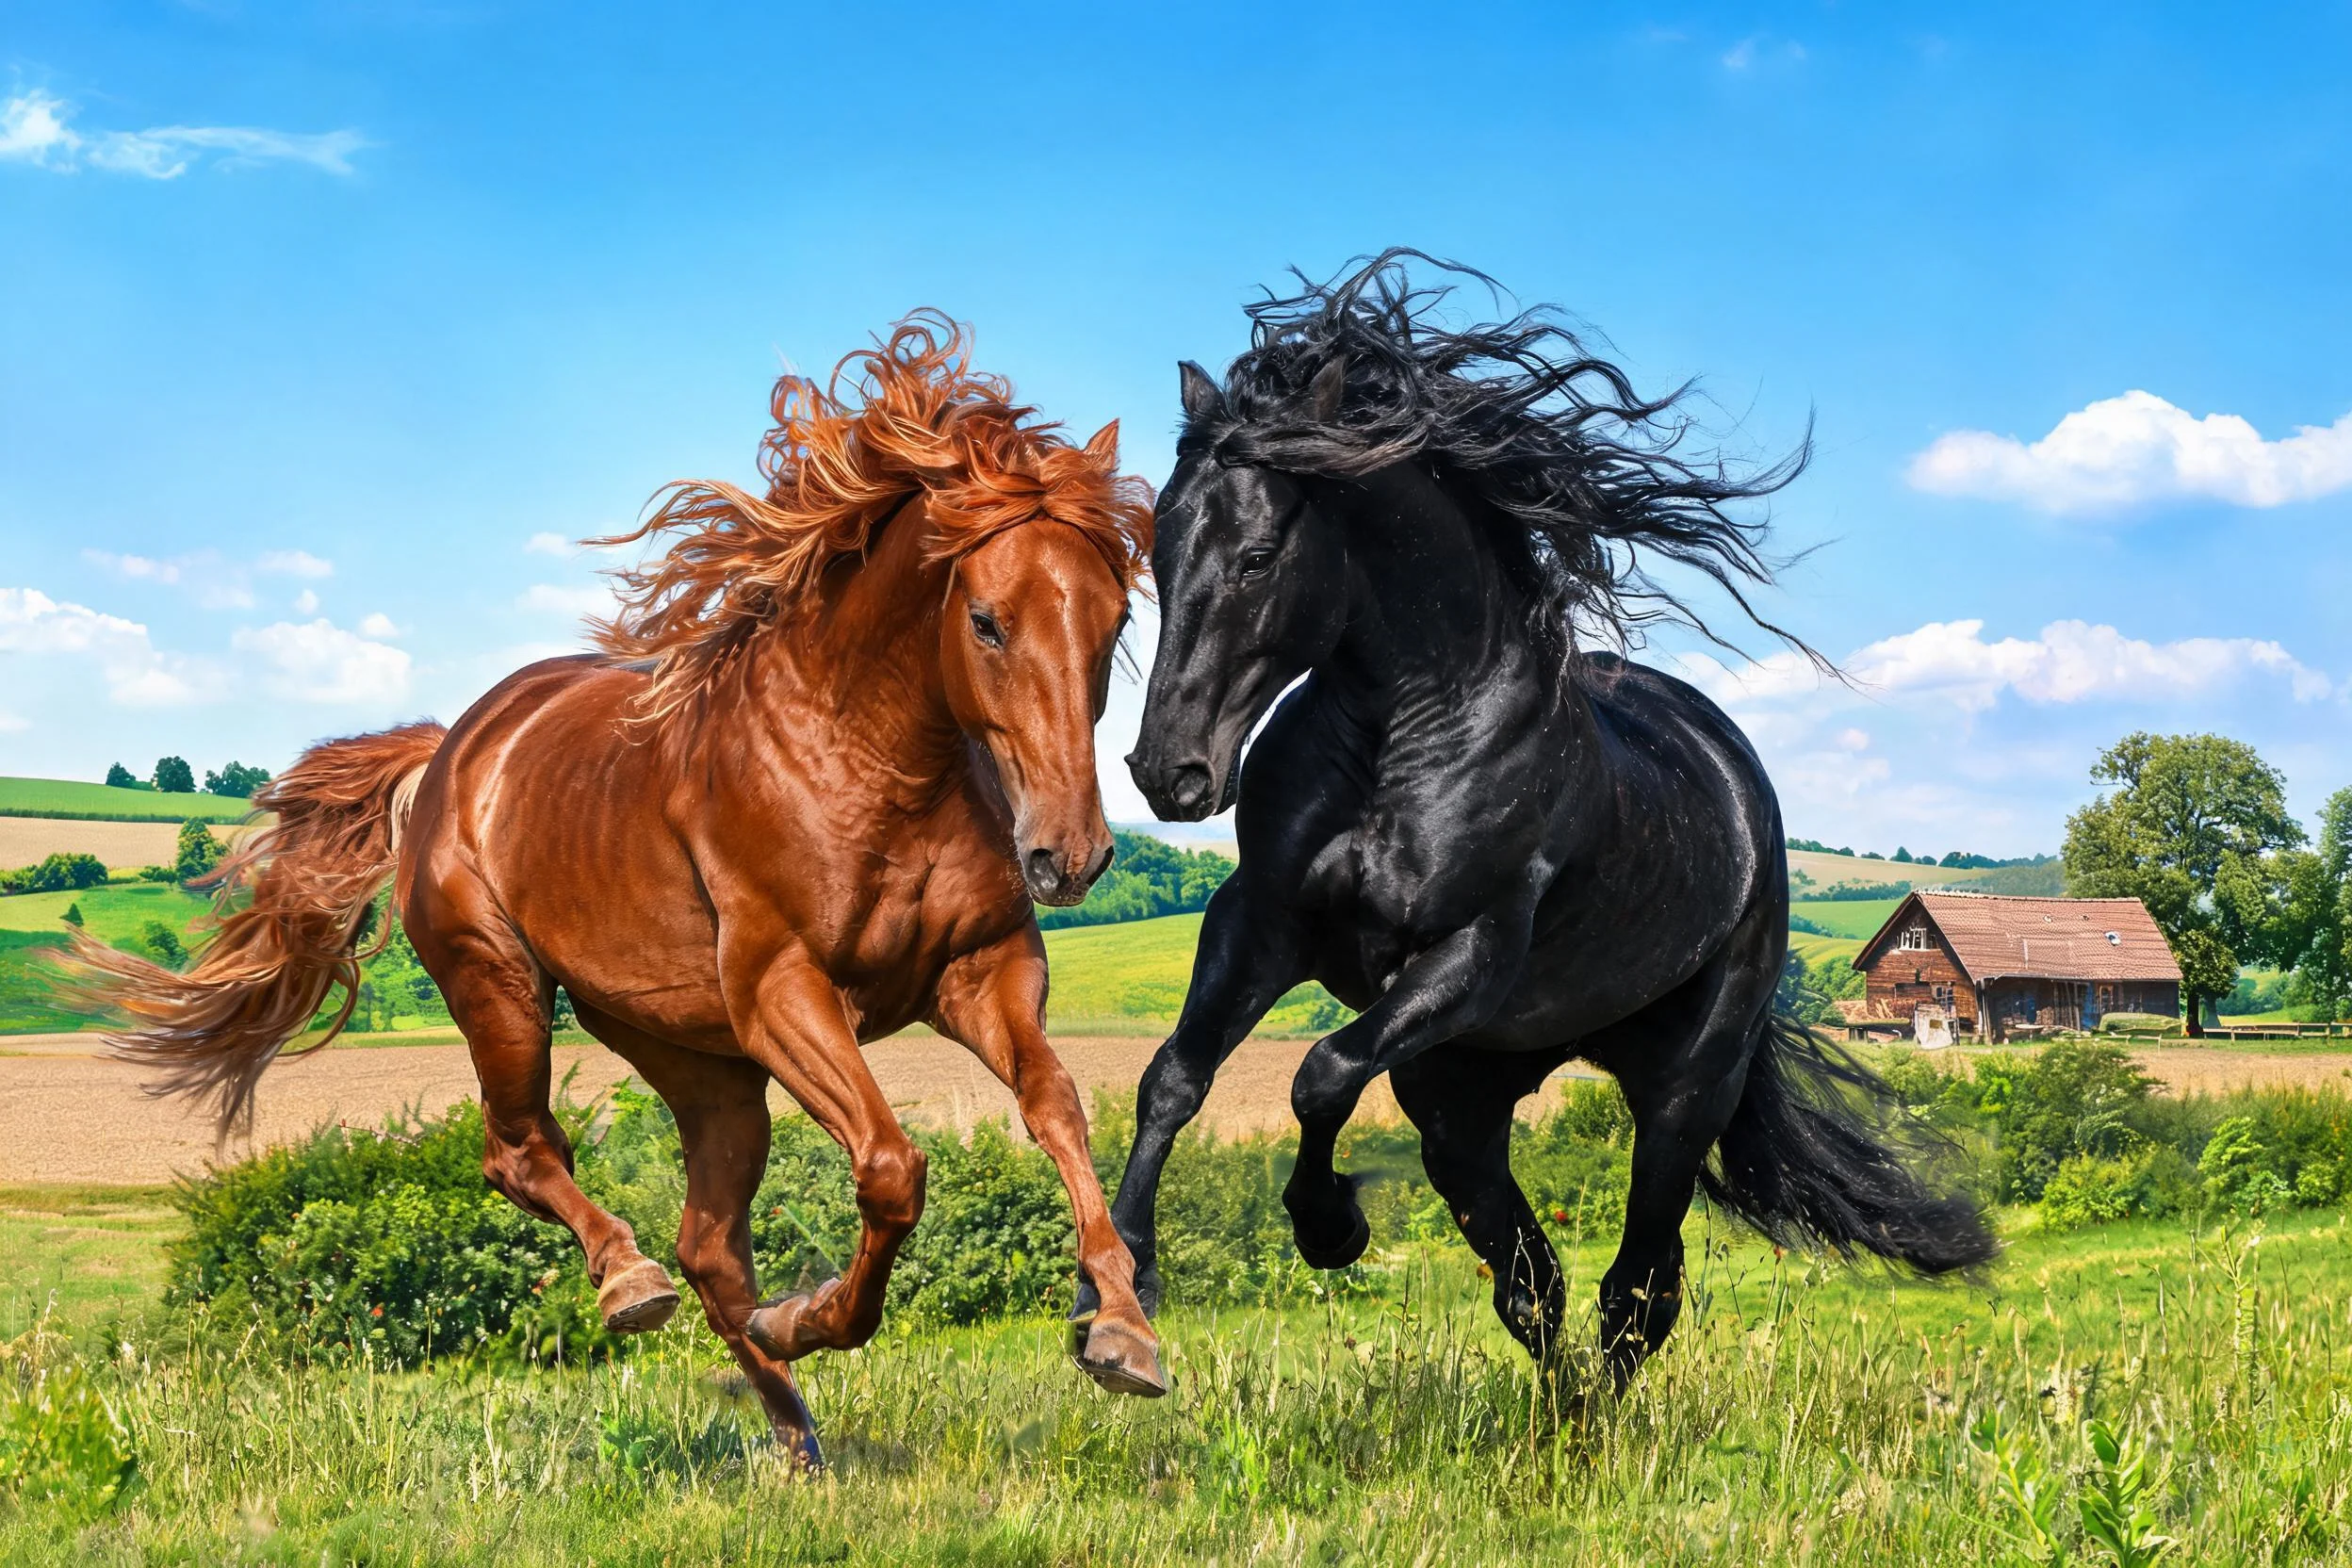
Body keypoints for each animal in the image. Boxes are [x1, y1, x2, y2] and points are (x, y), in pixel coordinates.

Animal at [66, 313, 1167, 1466]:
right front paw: (815, 1314)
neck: (864, 756)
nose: (1071, 855)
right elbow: (890, 1166)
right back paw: (637, 1286)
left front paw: (1123, 1333)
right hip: (504, 990)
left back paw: (796, 1433)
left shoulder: (982, 971)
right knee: (524, 1157)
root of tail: (448, 754)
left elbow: (1056, 1107)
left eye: (1112, 621)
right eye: (987, 622)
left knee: (709, 1248)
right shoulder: (783, 990)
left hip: (703, 1068)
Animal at [1094, 254, 1994, 1387]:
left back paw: (1591, 1413)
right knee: (1540, 1282)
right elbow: (1175, 1075)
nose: (1169, 772)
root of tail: (1743, 782)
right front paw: (1121, 1295)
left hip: (1684, 1088)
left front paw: (1331, 1226)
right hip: (1460, 1094)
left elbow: (1320, 1073)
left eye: (1258, 556)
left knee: (1636, 1288)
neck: (1401, 736)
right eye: (1158, 549)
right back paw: (1562, 1409)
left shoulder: (1472, 949)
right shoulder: (1263, 919)